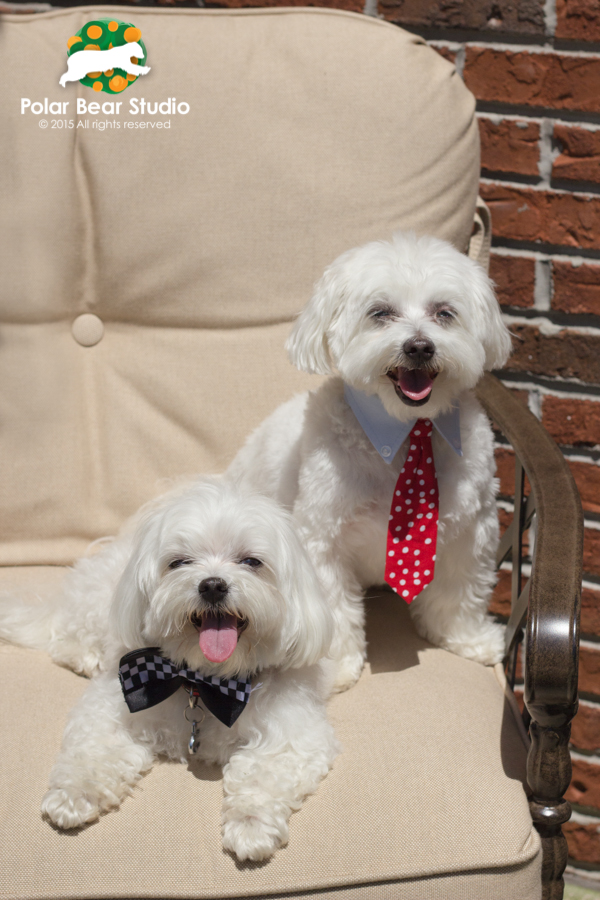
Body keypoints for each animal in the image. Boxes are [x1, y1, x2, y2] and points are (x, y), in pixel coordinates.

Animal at [0, 482, 338, 860]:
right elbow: (93, 751)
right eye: (179, 562)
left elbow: (264, 773)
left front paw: (250, 826)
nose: (212, 584)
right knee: (64, 633)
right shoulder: (114, 701)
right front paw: (74, 794)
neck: (204, 680)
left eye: (252, 562)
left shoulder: (294, 735)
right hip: (92, 608)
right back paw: (83, 654)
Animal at [227, 230, 512, 688]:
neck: (408, 432)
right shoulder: (322, 541)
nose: (419, 346)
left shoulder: (470, 532)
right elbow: (333, 608)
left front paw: (465, 638)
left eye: (444, 312)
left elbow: (460, 590)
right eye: (380, 313)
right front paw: (333, 666)